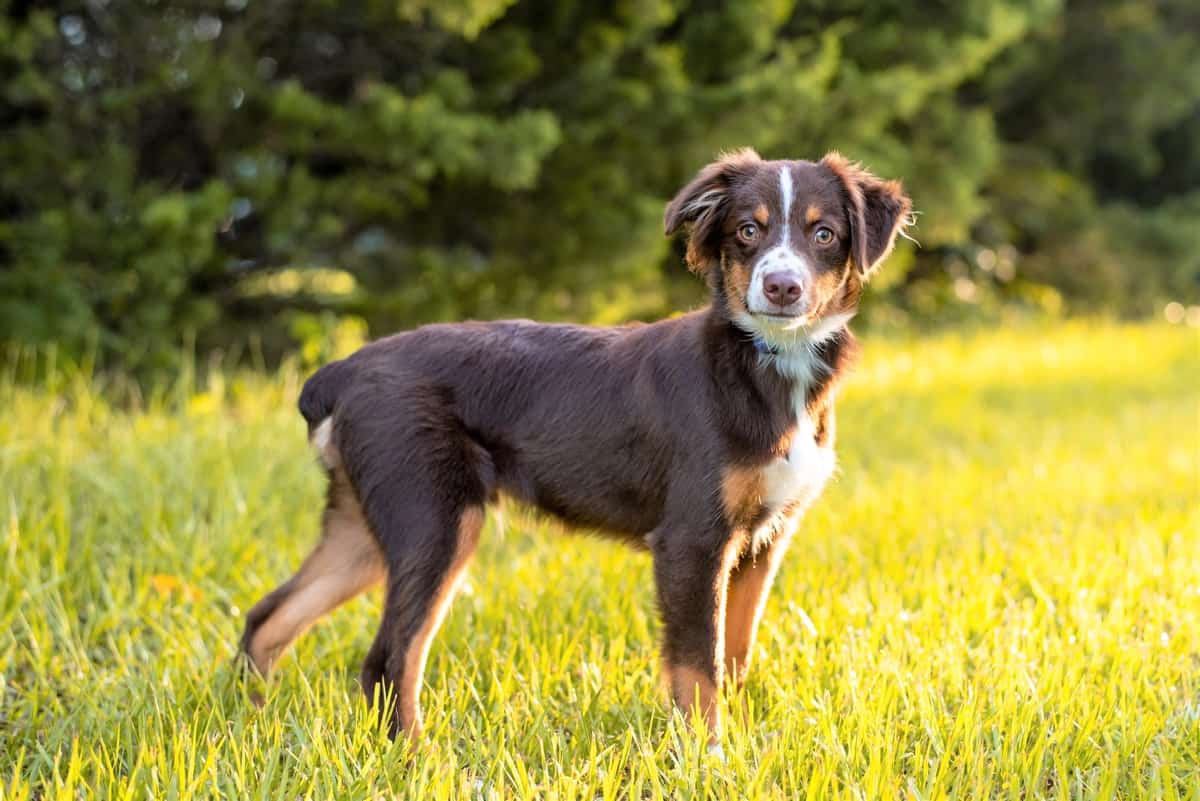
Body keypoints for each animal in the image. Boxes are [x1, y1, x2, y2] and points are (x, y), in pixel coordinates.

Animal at [238, 148, 907, 743]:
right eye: (748, 231)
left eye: (824, 234)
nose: (781, 287)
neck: (764, 366)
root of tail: (344, 370)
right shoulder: (692, 541)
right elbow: (698, 667)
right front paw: (707, 756)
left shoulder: (763, 539)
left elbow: (733, 656)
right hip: (435, 519)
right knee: (389, 658)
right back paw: (417, 759)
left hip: (365, 525)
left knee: (267, 619)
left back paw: (252, 722)